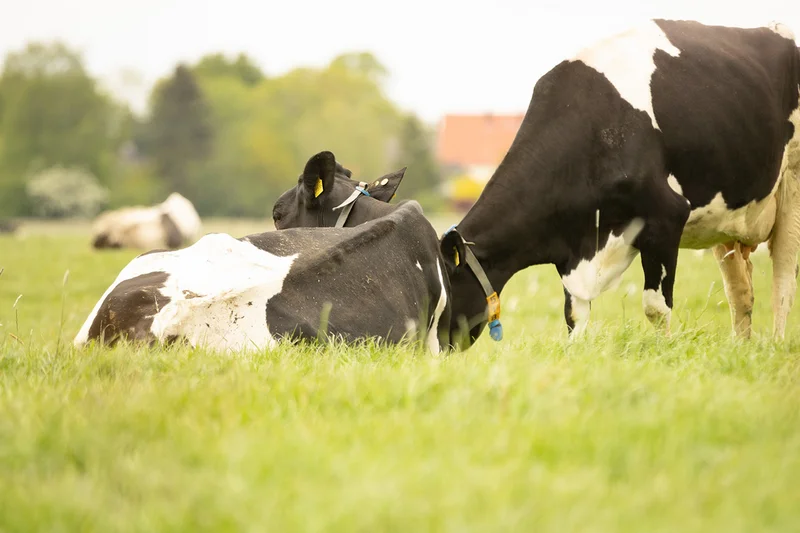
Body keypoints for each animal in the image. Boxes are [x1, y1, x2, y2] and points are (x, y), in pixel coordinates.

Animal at [440, 19, 800, 349]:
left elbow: (656, 307)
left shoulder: (666, 216)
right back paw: (742, 346)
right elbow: (574, 314)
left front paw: (662, 353)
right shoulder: (574, 248)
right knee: (741, 291)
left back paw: (776, 344)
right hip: (728, 219)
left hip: (792, 188)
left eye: (442, 296)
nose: (434, 352)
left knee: (783, 279)